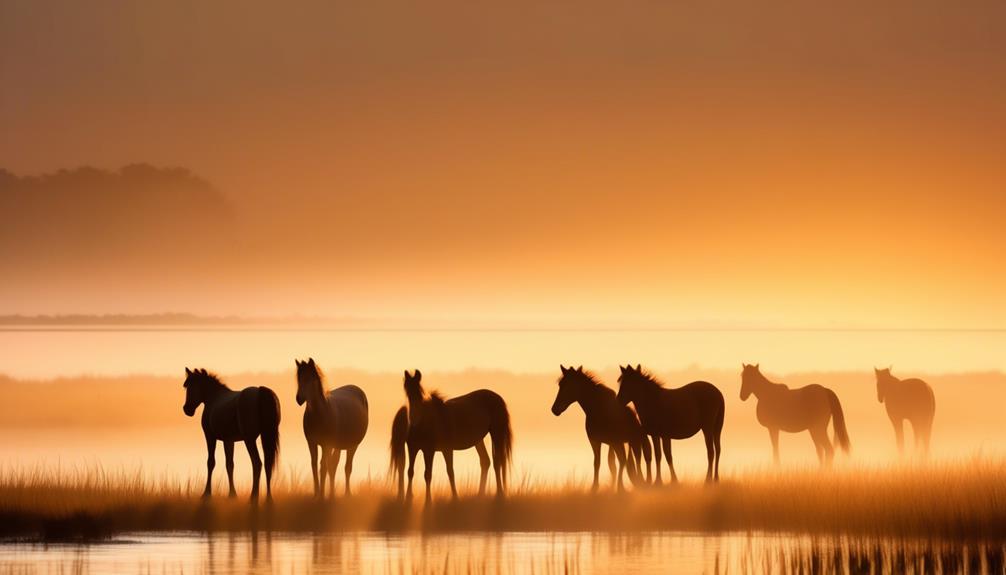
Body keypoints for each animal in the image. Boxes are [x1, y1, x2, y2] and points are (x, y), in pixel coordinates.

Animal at [182, 369, 281, 500]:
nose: (186, 409)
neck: (214, 398)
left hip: (249, 440)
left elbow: (211, 462)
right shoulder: (229, 440)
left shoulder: (210, 437)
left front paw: (207, 493)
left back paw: (253, 497)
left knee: (257, 463)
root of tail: (260, 391)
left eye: (189, 386)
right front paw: (232, 494)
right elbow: (230, 465)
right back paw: (268, 499)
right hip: (266, 436)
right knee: (267, 464)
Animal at [293, 357, 370, 496]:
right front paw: (317, 493)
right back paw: (332, 493)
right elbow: (315, 465)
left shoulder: (326, 444)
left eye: (310, 378)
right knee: (334, 465)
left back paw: (347, 493)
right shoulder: (311, 442)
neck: (320, 413)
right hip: (337, 446)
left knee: (347, 467)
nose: (299, 399)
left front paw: (322, 494)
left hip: (352, 445)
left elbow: (323, 466)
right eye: (299, 378)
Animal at [384, 369, 511, 500]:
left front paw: (435, 500)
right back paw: (480, 494)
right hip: (478, 440)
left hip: (497, 433)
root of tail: (497, 397)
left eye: (419, 389)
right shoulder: (413, 448)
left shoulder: (433, 450)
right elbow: (410, 472)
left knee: (497, 461)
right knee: (485, 461)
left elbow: (435, 473)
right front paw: (409, 498)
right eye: (406, 386)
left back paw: (499, 494)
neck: (423, 423)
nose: (414, 417)